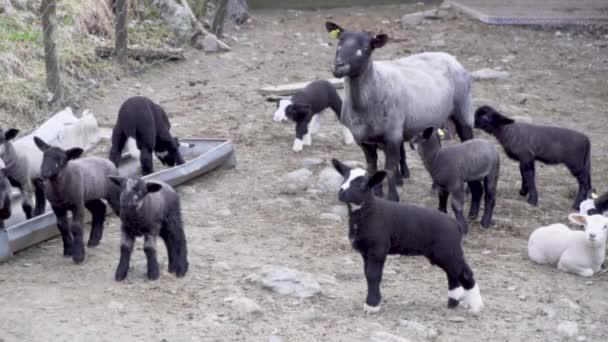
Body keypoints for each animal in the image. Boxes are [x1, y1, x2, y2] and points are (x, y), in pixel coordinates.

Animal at [326, 21, 478, 202]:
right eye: (339, 42)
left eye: (365, 47)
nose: (338, 66)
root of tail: (449, 56)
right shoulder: (363, 139)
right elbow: (372, 167)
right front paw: (376, 192)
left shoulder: (392, 136)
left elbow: (389, 169)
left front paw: (393, 197)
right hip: (433, 119)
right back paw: (435, 186)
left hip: (464, 110)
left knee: (469, 141)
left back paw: (469, 189)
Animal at [332, 159, 484, 316]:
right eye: (344, 179)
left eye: (362, 185)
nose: (341, 191)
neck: (368, 212)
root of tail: (456, 225)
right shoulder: (365, 252)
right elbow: (367, 275)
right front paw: (372, 302)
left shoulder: (378, 248)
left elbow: (374, 275)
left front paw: (372, 305)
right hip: (442, 253)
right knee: (452, 274)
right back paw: (453, 302)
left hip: (448, 250)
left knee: (465, 274)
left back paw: (476, 306)